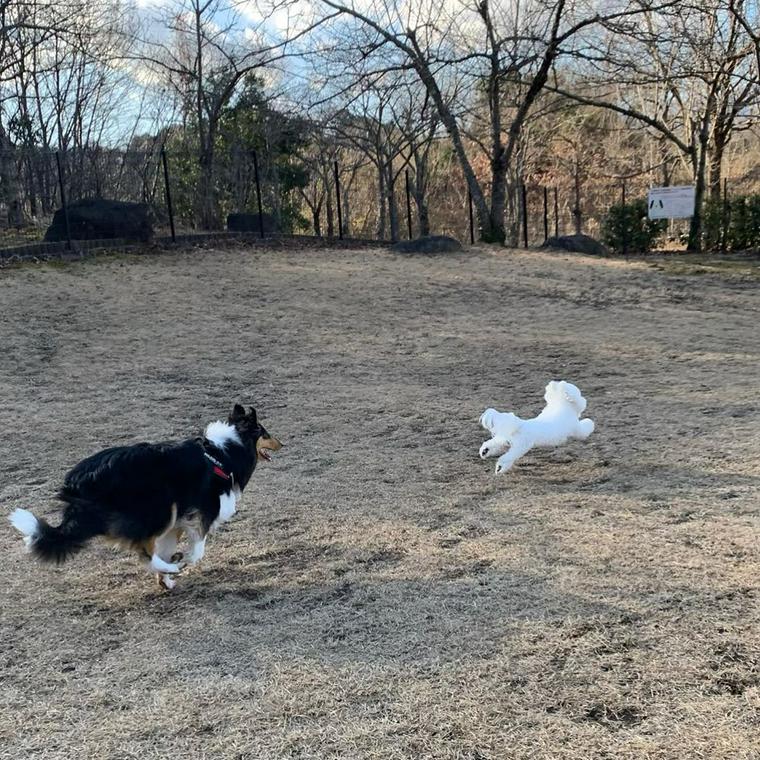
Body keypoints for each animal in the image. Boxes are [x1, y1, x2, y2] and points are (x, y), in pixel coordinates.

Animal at [8, 404, 282, 588]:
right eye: (265, 433)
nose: (282, 444)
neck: (225, 452)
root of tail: (80, 482)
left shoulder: (178, 522)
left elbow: (167, 547)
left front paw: (166, 580)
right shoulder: (202, 513)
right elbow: (198, 549)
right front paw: (182, 562)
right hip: (159, 509)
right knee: (144, 553)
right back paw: (174, 565)